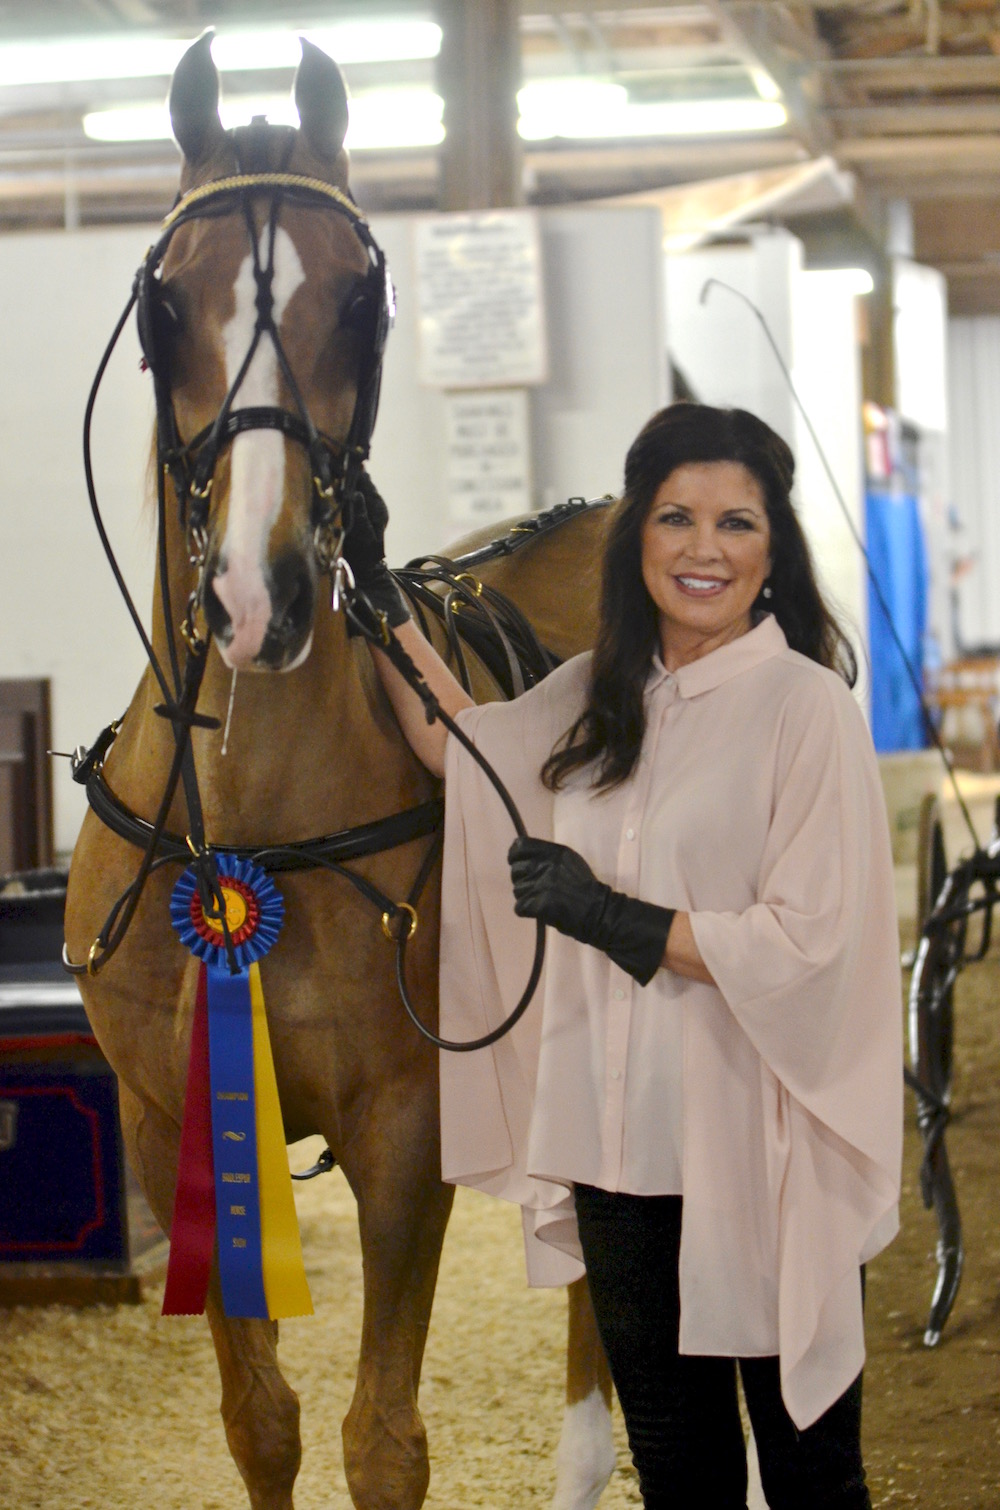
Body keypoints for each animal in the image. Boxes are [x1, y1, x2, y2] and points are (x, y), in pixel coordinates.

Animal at [66, 32, 616, 1510]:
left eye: (364, 296)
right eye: (165, 300)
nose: (260, 596)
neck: (250, 825)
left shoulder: (403, 1134)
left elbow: (384, 1439)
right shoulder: (175, 1127)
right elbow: (263, 1419)